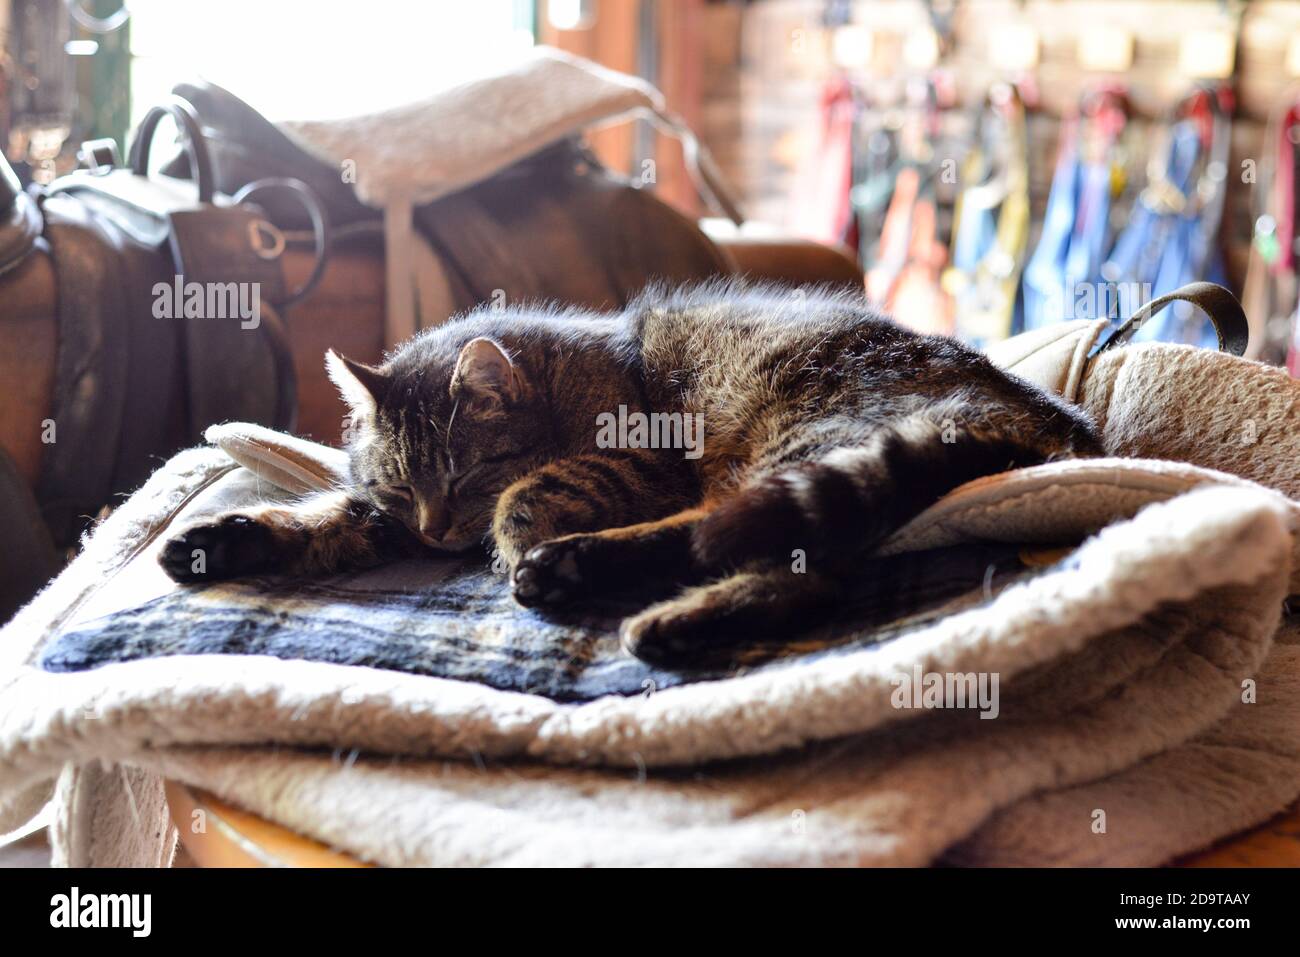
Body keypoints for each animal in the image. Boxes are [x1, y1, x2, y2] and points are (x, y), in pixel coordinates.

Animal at [157, 280, 1102, 660]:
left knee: (773, 560)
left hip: (788, 448)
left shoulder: (640, 465)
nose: (431, 529)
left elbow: (532, 487)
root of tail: (1054, 419)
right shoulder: (380, 513)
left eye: (462, 478)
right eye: (399, 483)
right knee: (800, 573)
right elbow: (326, 516)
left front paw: (512, 538)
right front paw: (222, 538)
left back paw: (584, 577)